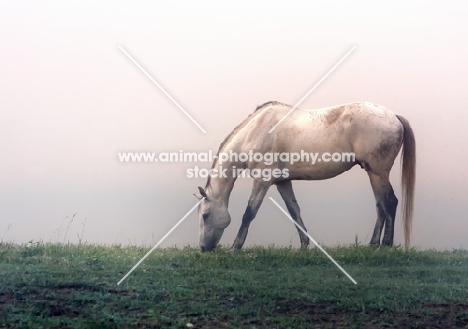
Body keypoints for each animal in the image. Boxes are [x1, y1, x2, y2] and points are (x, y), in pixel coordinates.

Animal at [195, 102, 416, 251]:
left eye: (205, 215)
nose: (203, 248)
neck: (255, 132)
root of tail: (394, 116)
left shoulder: (262, 181)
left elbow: (249, 213)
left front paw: (235, 247)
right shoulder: (282, 181)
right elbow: (294, 211)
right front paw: (304, 244)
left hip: (378, 173)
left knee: (390, 203)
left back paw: (386, 244)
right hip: (373, 174)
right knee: (380, 206)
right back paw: (372, 243)